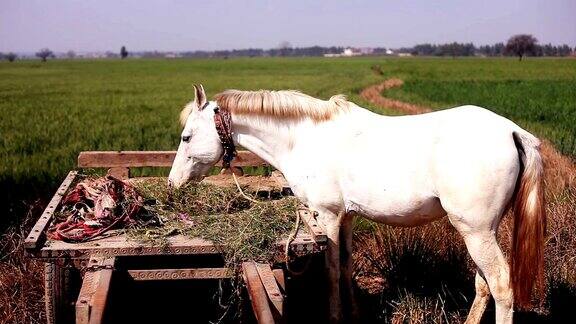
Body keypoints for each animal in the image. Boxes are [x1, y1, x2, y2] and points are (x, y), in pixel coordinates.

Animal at [170, 85, 544, 322]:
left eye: (186, 137)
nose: (173, 182)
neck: (303, 138)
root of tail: (512, 132)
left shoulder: (328, 217)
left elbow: (332, 271)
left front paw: (336, 316)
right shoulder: (347, 218)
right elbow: (347, 266)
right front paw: (354, 313)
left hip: (476, 233)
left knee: (501, 286)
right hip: (482, 232)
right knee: (484, 286)